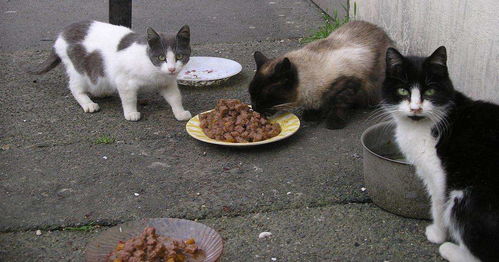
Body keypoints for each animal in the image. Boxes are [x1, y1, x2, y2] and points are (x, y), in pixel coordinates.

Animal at [29, 20, 192, 122]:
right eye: (161, 57)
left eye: (179, 56)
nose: (172, 68)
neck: (154, 70)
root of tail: (61, 35)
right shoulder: (124, 80)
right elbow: (128, 98)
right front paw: (131, 113)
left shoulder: (167, 82)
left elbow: (175, 96)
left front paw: (180, 112)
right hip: (79, 70)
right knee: (75, 88)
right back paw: (88, 103)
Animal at [382, 46, 499, 260]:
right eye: (403, 90)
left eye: (430, 91)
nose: (415, 108)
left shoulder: (438, 175)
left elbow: (437, 203)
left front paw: (437, 234)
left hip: (466, 198)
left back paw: (450, 249)